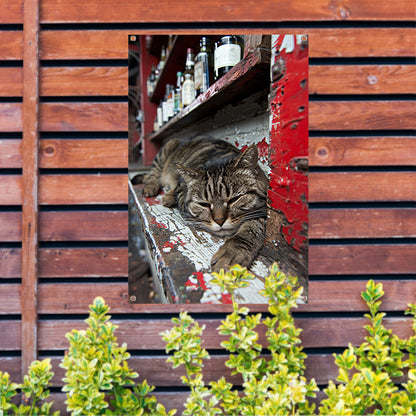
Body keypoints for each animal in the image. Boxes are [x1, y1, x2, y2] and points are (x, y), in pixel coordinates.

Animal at [142, 137, 266, 272]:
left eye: (234, 199)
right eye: (204, 204)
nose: (219, 221)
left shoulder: (264, 207)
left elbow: (253, 228)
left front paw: (233, 251)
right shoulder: (181, 188)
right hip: (166, 150)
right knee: (153, 173)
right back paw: (152, 187)